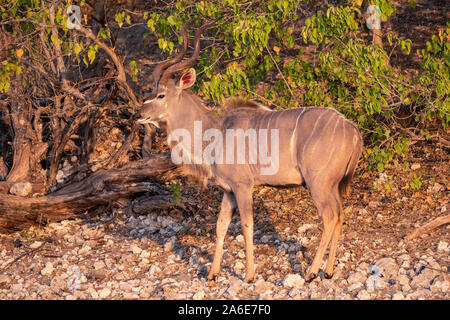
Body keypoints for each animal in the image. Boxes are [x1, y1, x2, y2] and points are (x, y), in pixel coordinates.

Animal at [135, 20, 364, 282]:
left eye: (161, 95)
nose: (138, 114)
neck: (215, 133)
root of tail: (352, 130)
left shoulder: (243, 186)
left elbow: (247, 225)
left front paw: (249, 275)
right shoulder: (228, 190)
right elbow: (221, 225)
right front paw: (212, 274)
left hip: (318, 183)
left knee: (329, 217)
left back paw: (311, 272)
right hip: (332, 185)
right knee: (340, 215)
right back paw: (328, 270)